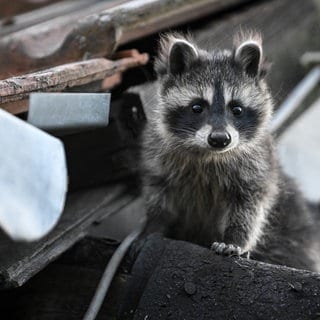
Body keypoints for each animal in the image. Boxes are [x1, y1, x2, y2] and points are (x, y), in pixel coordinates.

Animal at [142, 31, 320, 272]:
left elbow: (249, 205)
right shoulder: (160, 160)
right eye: (197, 107)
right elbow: (159, 198)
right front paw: (153, 227)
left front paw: (235, 239)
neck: (209, 155)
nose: (219, 139)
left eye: (237, 109)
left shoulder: (258, 166)